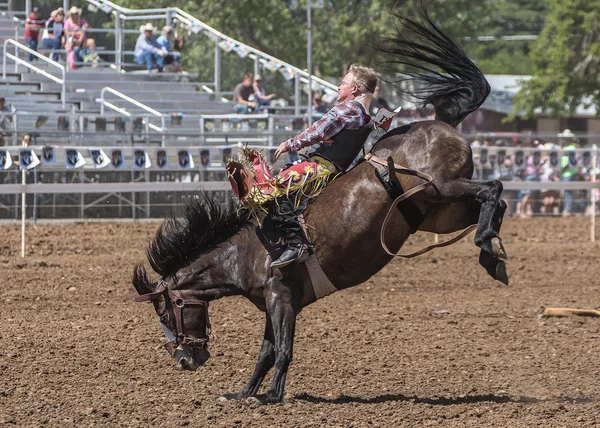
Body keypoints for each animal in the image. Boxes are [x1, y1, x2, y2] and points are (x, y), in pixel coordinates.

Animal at [134, 7, 508, 404]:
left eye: (165, 312)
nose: (184, 360)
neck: (245, 250)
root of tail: (442, 124)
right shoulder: (273, 301)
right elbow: (266, 350)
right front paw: (243, 394)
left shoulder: (281, 296)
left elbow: (282, 349)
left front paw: (271, 396)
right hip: (437, 212)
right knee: (490, 205)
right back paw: (493, 255)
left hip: (443, 187)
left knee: (493, 189)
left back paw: (489, 246)